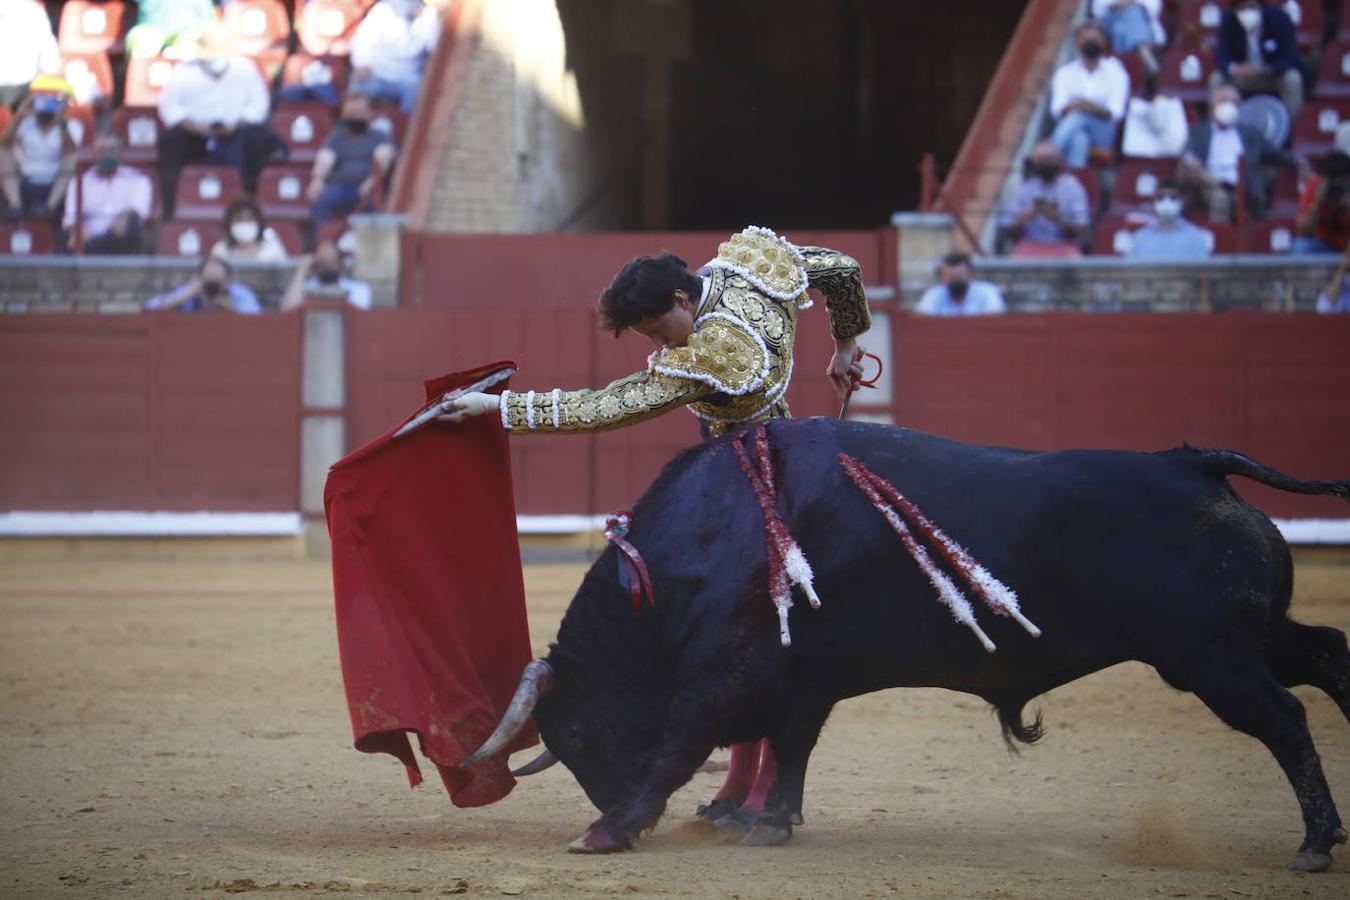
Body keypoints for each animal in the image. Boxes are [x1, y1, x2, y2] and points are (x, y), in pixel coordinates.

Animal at [467, 418, 1350, 868]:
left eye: (575, 734)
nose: (605, 803)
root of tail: (1194, 463)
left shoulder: (718, 676)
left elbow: (679, 746)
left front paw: (609, 832)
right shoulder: (803, 679)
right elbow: (793, 747)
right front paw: (770, 823)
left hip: (1210, 658)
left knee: (1285, 719)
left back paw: (1315, 843)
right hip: (1249, 638)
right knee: (1329, 651)